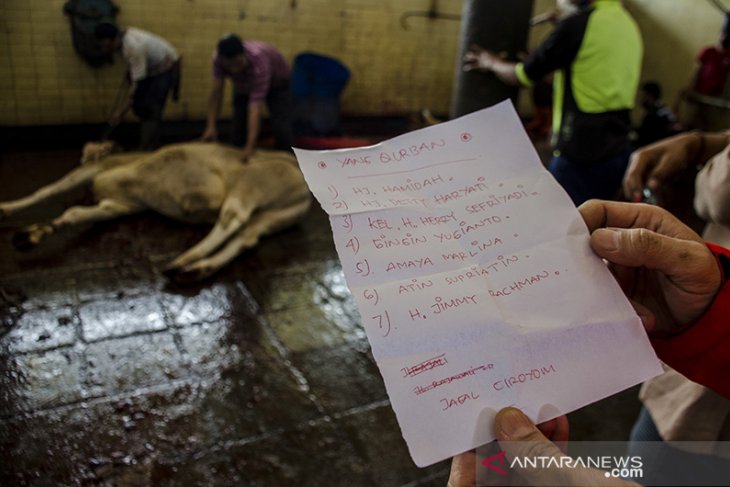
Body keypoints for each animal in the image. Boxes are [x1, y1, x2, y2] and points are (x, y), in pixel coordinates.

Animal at [0, 142, 310, 282]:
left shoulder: (95, 173)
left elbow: (47, 191)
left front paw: (6, 209)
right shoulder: (119, 204)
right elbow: (74, 213)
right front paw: (31, 235)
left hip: (251, 183)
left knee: (232, 219)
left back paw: (187, 258)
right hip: (275, 216)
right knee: (247, 236)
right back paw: (195, 269)